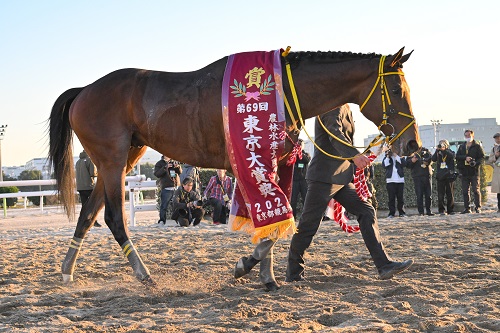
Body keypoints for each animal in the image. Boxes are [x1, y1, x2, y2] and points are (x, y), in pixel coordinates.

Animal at [48, 46, 420, 286]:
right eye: (396, 87)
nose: (413, 144)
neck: (283, 90)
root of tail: (84, 91)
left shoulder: (275, 163)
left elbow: (277, 218)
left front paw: (268, 277)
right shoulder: (249, 163)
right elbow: (275, 220)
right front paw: (246, 265)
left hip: (126, 155)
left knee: (88, 213)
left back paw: (67, 270)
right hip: (113, 159)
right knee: (112, 217)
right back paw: (143, 273)